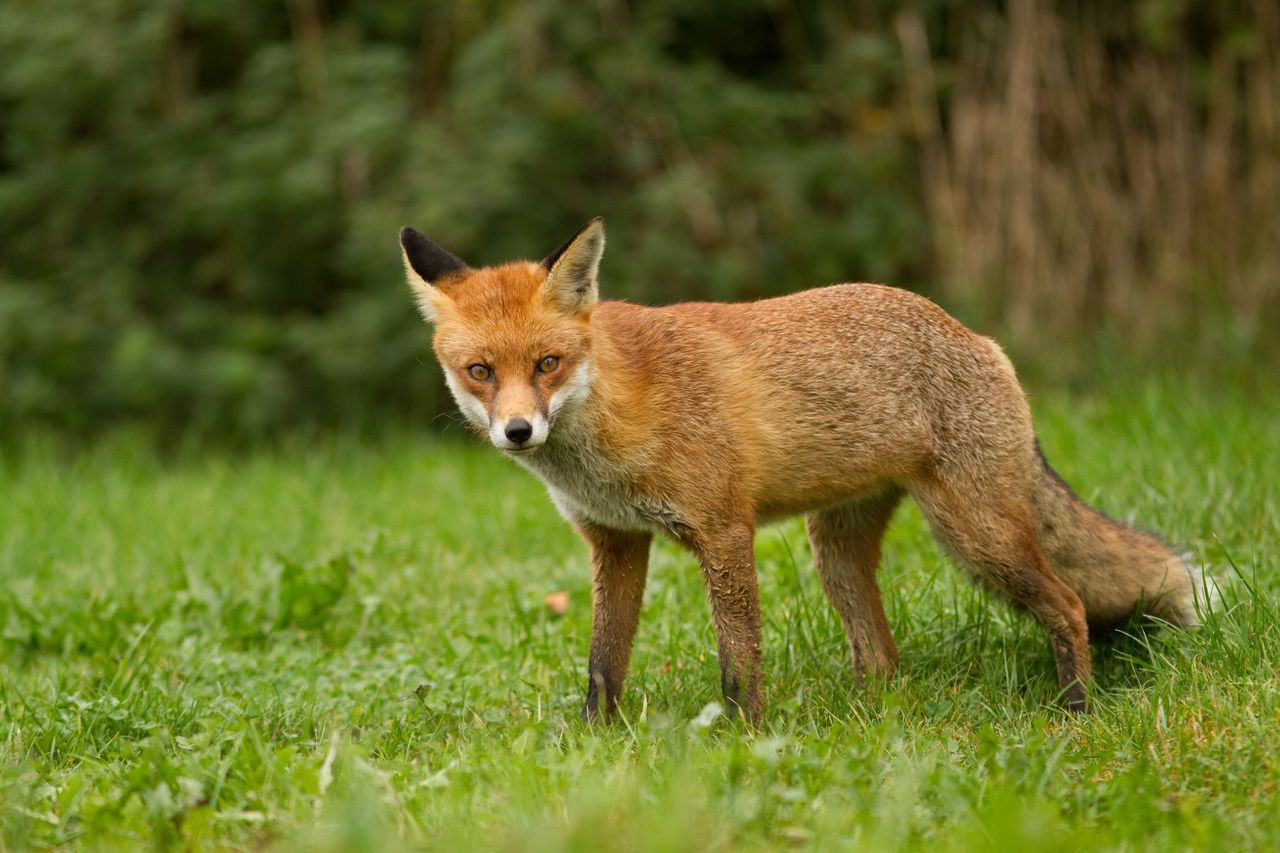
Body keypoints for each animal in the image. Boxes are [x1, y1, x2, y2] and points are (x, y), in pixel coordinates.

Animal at [399, 217, 1208, 717]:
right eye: (479, 371)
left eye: (547, 363)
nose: (518, 431)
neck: (612, 428)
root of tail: (976, 335)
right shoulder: (617, 542)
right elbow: (604, 664)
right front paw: (595, 745)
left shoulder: (724, 529)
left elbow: (738, 660)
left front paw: (744, 740)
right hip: (837, 552)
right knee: (882, 656)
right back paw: (874, 722)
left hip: (977, 536)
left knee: (1067, 603)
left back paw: (1075, 711)